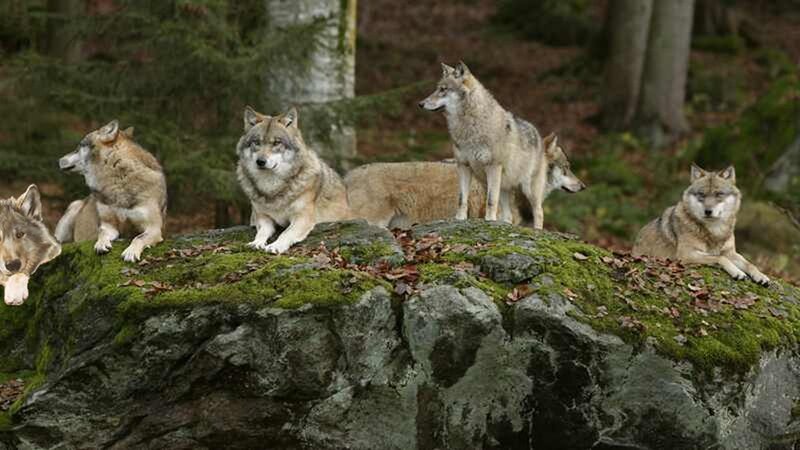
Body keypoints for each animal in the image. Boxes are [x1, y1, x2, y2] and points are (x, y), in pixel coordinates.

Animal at [58, 121, 167, 262]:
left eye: (79, 146)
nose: (59, 160)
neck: (119, 181)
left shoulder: (154, 228)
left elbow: (138, 238)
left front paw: (130, 253)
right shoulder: (109, 225)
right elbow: (102, 232)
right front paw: (101, 245)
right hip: (72, 208)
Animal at [237, 106, 352, 254]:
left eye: (276, 143)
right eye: (256, 142)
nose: (260, 161)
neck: (272, 187)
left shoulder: (302, 217)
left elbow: (286, 233)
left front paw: (275, 246)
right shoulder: (263, 217)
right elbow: (261, 232)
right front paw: (256, 243)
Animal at [419, 61, 550, 228]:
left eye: (443, 89)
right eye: (437, 88)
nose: (420, 104)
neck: (468, 127)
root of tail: (537, 132)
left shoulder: (493, 167)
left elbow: (490, 201)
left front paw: (489, 220)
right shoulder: (463, 166)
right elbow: (462, 198)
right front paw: (459, 219)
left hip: (528, 189)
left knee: (539, 212)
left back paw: (537, 230)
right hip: (504, 187)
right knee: (508, 215)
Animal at [633, 164, 769, 285]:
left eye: (719, 194)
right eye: (702, 194)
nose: (708, 211)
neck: (715, 230)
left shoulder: (730, 252)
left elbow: (750, 264)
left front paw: (761, 276)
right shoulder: (686, 254)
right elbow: (719, 258)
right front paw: (738, 272)